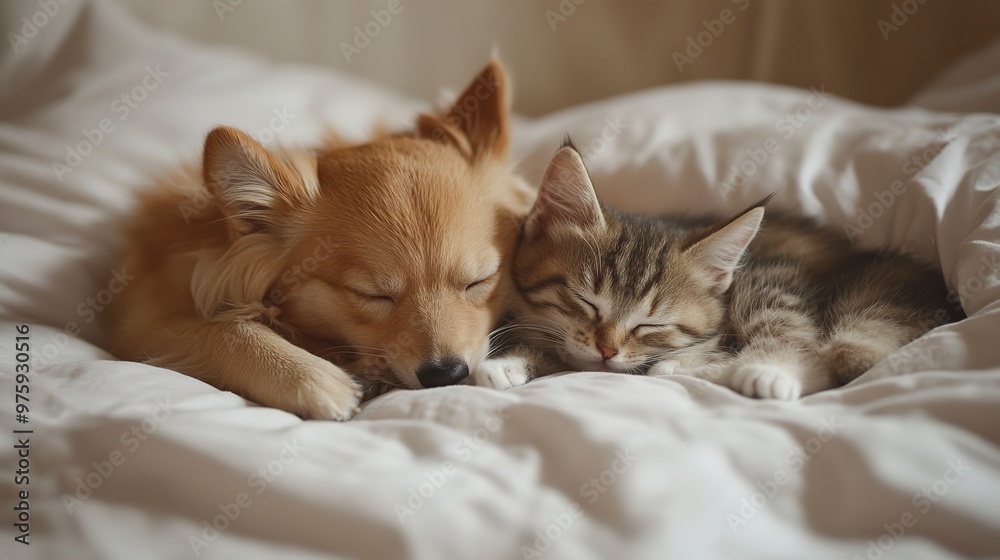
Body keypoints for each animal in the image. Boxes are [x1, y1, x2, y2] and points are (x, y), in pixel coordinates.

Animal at [105, 61, 536, 420]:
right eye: (372, 295)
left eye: (480, 281)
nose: (445, 373)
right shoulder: (142, 325)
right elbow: (222, 328)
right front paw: (310, 379)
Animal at [474, 142, 960, 400]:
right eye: (585, 302)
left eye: (651, 324)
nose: (607, 350)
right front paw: (510, 362)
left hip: (771, 279)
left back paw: (766, 371)